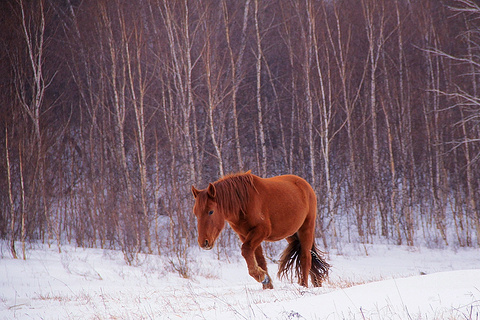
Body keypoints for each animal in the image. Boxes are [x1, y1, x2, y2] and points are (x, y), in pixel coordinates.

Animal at [191, 171, 330, 288]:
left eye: (211, 211)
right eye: (195, 213)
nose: (204, 242)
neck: (244, 203)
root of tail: (305, 185)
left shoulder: (260, 232)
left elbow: (246, 250)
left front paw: (261, 277)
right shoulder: (245, 235)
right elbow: (260, 260)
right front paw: (267, 284)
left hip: (306, 228)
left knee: (305, 258)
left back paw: (303, 286)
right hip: (291, 234)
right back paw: (315, 283)